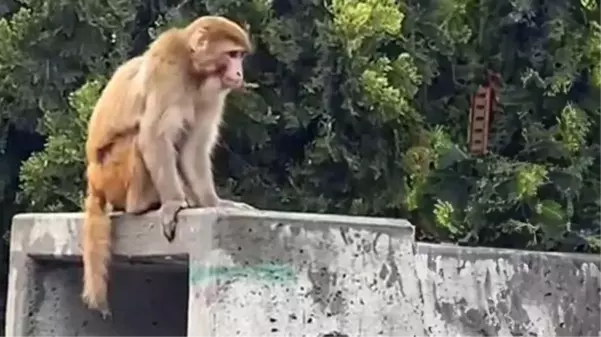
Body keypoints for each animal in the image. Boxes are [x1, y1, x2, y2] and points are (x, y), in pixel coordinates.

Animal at [81, 15, 254, 316]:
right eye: (232, 55)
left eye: (240, 56)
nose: (239, 73)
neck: (194, 69)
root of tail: (94, 180)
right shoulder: (167, 71)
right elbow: (154, 137)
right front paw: (173, 203)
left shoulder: (212, 94)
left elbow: (191, 150)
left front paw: (214, 203)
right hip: (112, 173)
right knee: (138, 138)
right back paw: (142, 204)